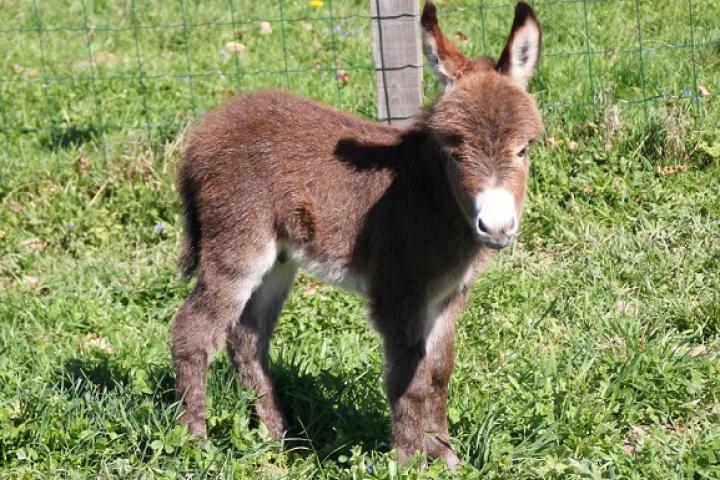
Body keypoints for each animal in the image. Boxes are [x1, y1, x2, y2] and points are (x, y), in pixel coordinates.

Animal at [174, 0, 544, 464]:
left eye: (523, 149)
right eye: (455, 153)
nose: (496, 228)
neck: (432, 197)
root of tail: (203, 134)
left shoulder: (448, 295)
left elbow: (439, 373)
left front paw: (446, 457)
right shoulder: (397, 291)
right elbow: (408, 379)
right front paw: (408, 460)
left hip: (279, 260)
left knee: (247, 338)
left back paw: (282, 443)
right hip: (238, 242)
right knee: (192, 329)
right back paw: (195, 444)